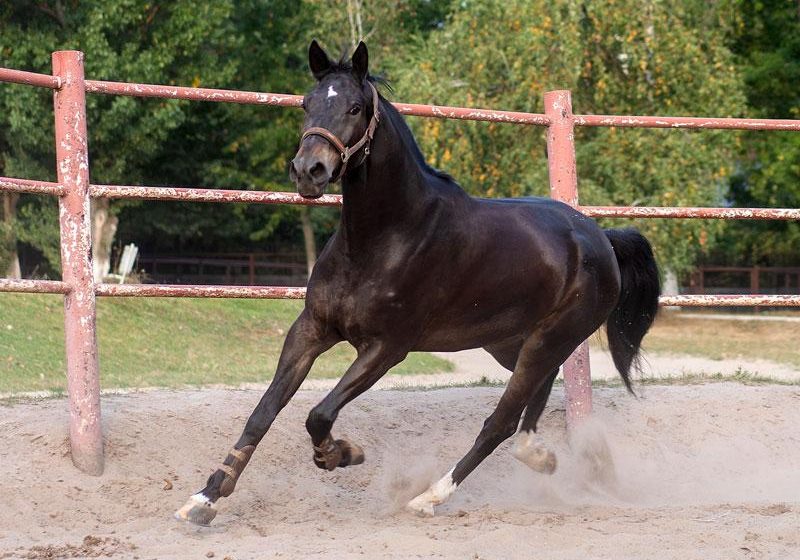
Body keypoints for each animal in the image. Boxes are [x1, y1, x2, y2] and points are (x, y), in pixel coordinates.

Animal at [176, 40, 660, 525]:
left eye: (354, 107)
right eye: (306, 103)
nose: (308, 170)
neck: (384, 238)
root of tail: (601, 237)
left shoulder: (387, 347)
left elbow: (319, 414)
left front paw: (340, 453)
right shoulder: (311, 329)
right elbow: (264, 411)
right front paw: (204, 498)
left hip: (551, 338)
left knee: (500, 422)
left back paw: (429, 497)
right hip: (512, 343)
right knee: (536, 394)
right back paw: (538, 456)